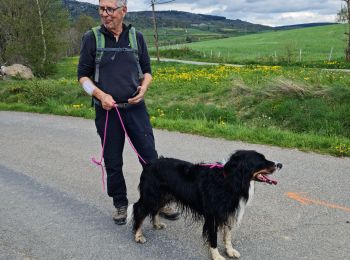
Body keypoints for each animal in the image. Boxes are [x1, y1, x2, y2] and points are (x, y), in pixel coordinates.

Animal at [131, 149, 282, 258]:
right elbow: (213, 238)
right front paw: (217, 256)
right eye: (261, 160)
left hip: (163, 195)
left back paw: (156, 224)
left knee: (155, 210)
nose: (280, 164)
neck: (230, 180)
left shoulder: (227, 212)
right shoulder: (213, 215)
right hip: (151, 195)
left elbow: (228, 235)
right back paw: (138, 235)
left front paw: (230, 251)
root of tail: (149, 164)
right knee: (139, 209)